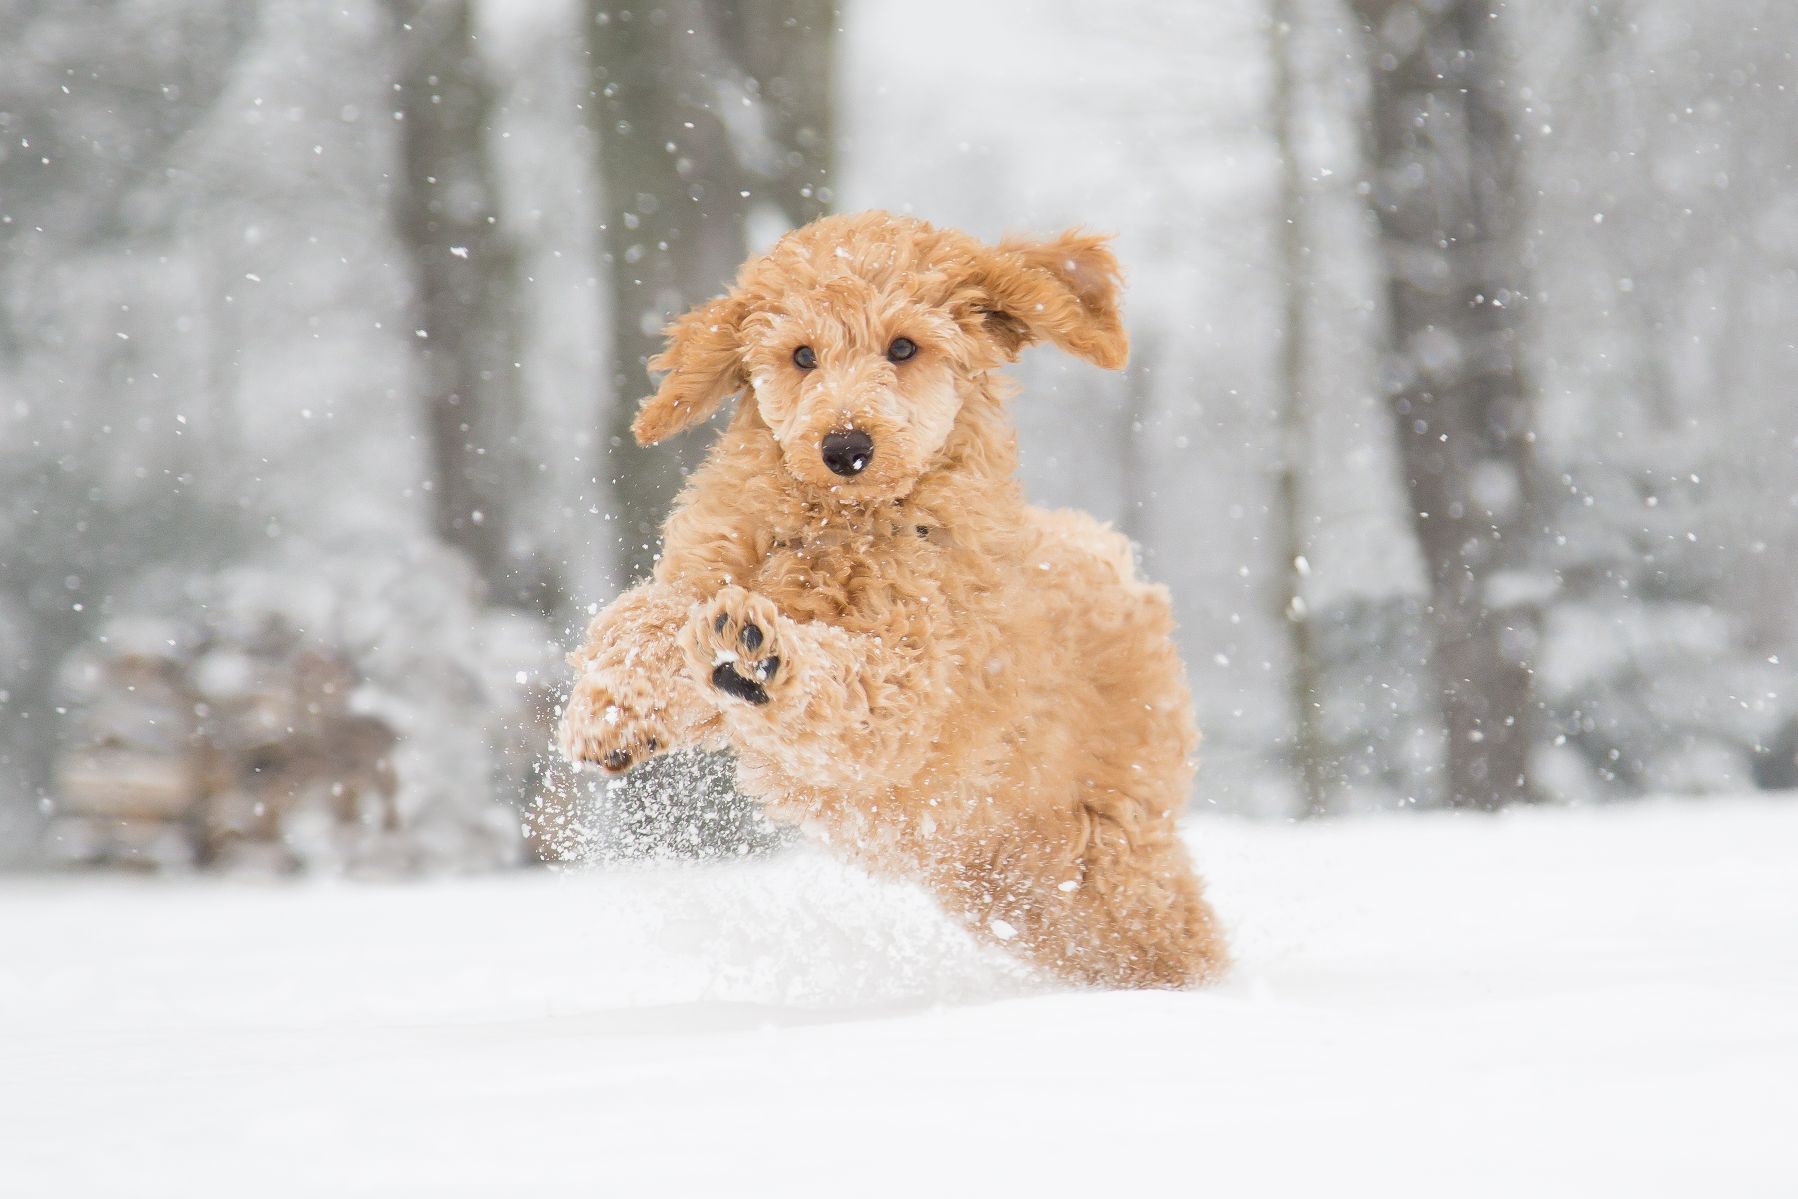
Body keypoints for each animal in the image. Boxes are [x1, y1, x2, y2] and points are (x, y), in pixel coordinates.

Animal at [560, 211, 1229, 992]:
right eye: (802, 355)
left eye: (903, 346)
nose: (845, 446)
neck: (842, 524)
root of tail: (1119, 568)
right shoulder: (706, 568)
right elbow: (642, 618)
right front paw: (608, 714)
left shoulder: (915, 680)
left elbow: (852, 680)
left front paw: (762, 657)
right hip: (1005, 877)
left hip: (1107, 845)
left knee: (1172, 932)